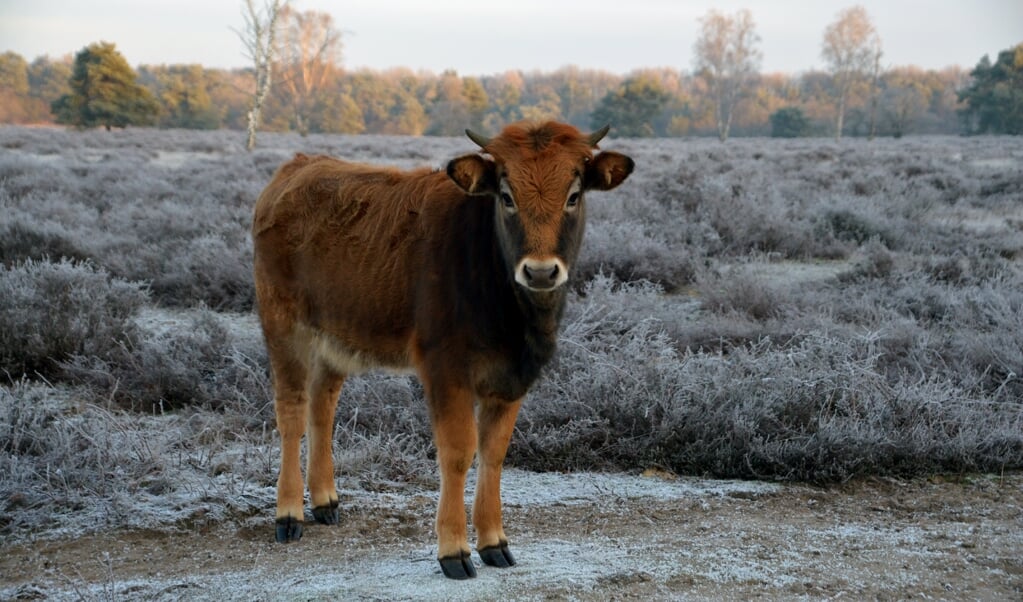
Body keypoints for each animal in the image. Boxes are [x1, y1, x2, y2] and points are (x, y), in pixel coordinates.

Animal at [250, 118, 630, 577]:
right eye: (507, 196)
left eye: (573, 196)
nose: (540, 271)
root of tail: (296, 167)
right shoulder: (446, 370)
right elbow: (458, 451)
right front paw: (454, 550)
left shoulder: (511, 377)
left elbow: (494, 453)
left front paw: (494, 542)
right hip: (284, 327)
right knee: (291, 412)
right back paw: (288, 514)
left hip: (334, 338)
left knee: (322, 408)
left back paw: (325, 501)